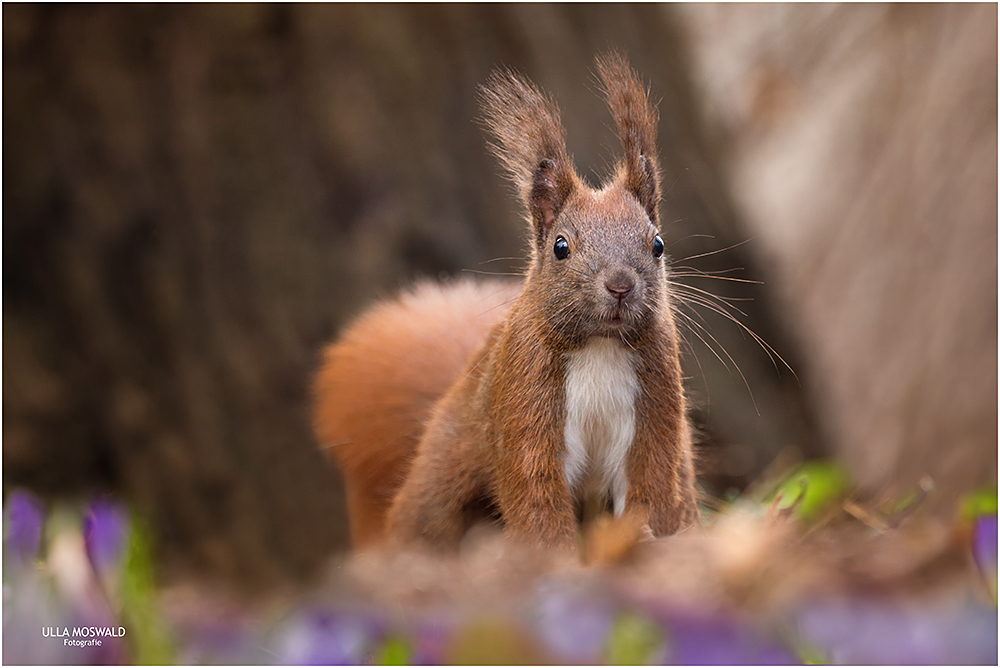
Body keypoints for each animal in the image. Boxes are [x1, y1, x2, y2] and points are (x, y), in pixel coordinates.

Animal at [312, 53, 696, 548]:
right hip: (443, 488)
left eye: (658, 245)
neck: (600, 346)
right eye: (560, 246)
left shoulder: (657, 402)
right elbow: (535, 493)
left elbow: (651, 485)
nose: (620, 285)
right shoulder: (523, 398)